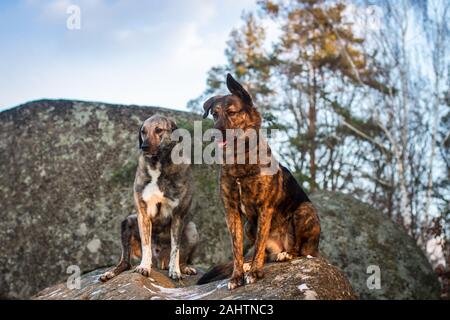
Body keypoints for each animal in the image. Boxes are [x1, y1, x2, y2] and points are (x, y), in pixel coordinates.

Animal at [199, 74, 322, 290]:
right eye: (214, 114)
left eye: (232, 112)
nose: (214, 133)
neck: (239, 159)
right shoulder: (232, 211)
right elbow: (237, 249)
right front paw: (237, 275)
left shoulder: (264, 208)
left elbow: (258, 246)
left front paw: (255, 273)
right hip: (249, 225)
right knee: (264, 251)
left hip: (304, 211)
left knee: (299, 250)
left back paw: (286, 254)